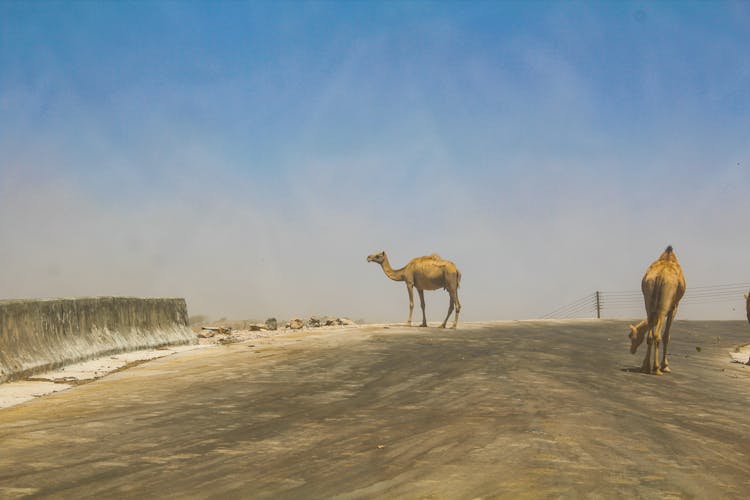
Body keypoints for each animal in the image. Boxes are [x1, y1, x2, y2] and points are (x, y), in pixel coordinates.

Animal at [628, 246, 688, 376]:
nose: (631, 350)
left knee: (650, 335)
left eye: (631, 336)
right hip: (663, 307)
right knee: (657, 335)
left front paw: (644, 365)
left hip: (648, 302)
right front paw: (665, 366)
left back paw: (646, 367)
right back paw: (656, 369)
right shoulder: (673, 307)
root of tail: (659, 276)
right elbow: (666, 336)